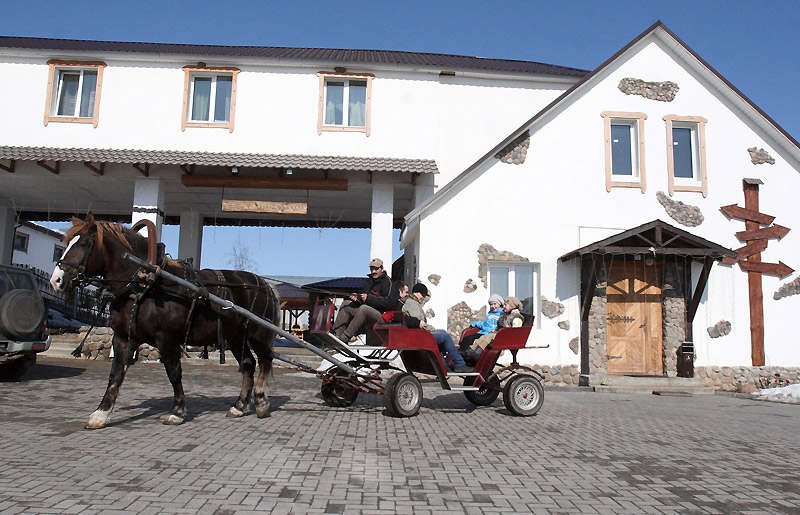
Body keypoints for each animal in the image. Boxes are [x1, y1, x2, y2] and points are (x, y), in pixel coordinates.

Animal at [50, 212, 280, 430]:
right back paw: (239, 405)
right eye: (66, 243)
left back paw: (260, 401)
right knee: (248, 364)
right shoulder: (123, 338)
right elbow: (116, 374)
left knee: (264, 361)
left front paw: (177, 411)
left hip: (258, 334)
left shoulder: (167, 338)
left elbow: (174, 372)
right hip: (235, 336)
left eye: (83, 243)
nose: (57, 280)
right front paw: (101, 413)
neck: (145, 283)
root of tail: (265, 285)